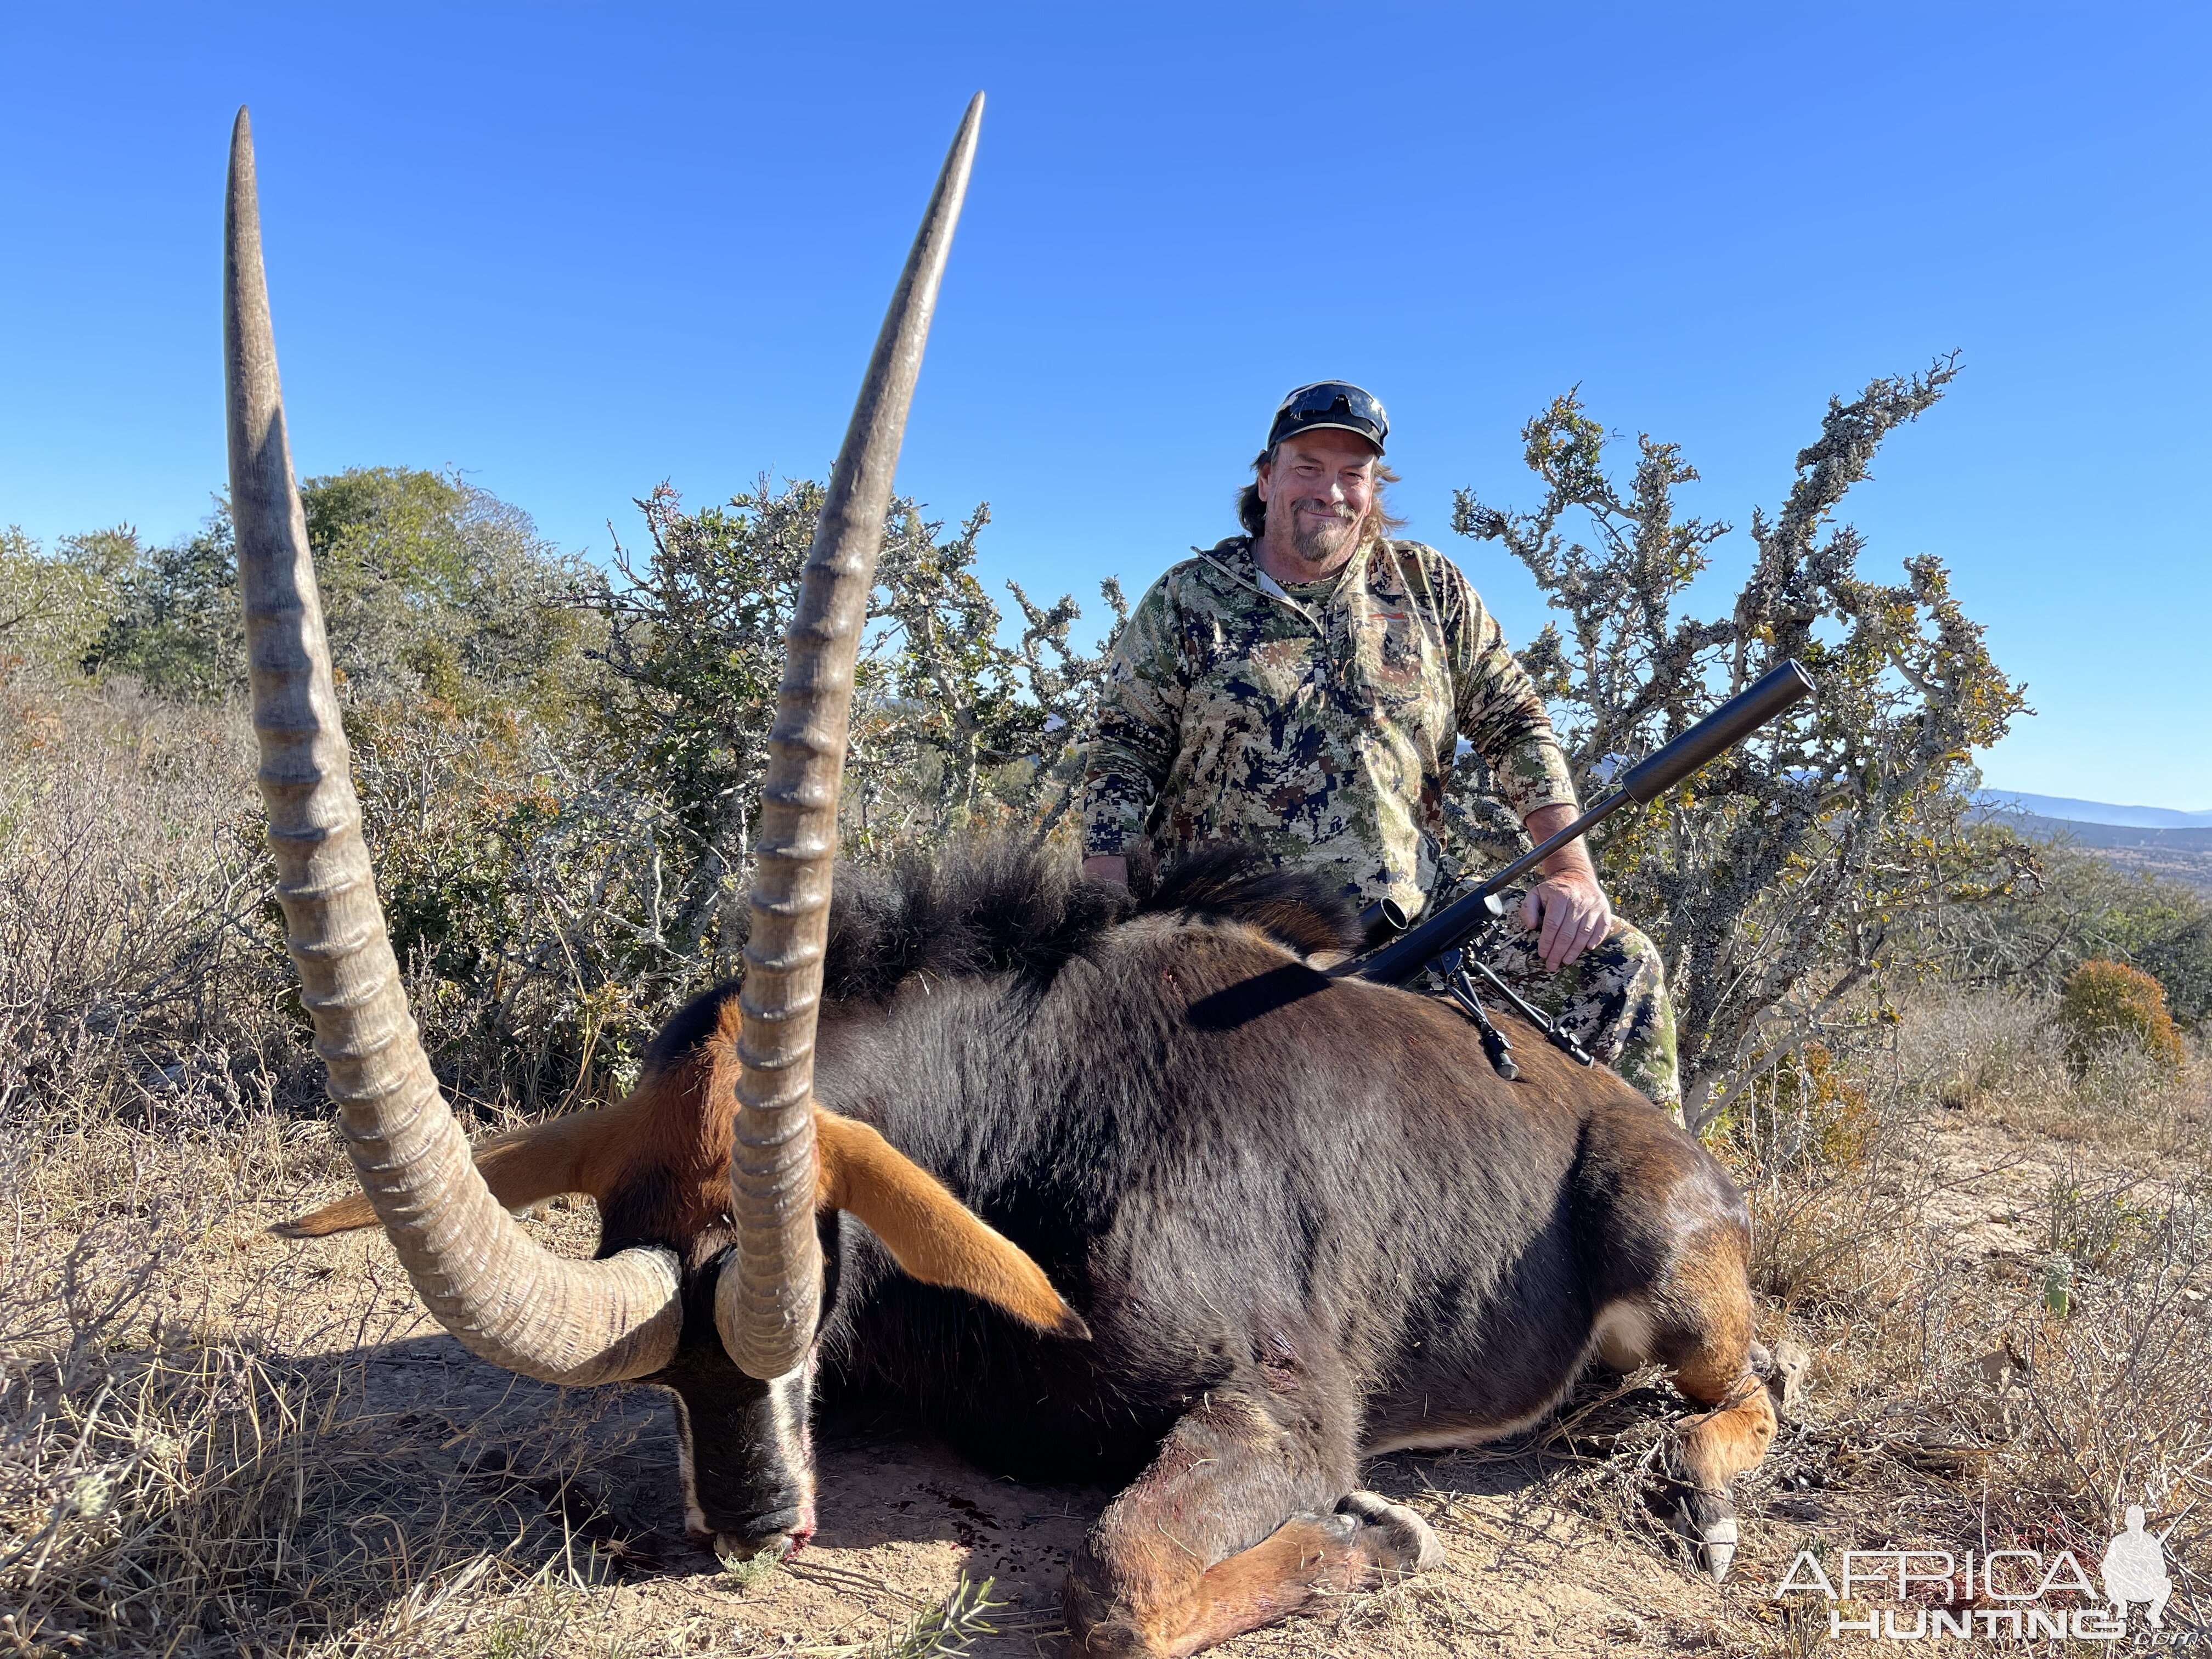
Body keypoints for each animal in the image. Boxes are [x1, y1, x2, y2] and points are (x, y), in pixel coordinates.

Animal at [242, 100, 1787, 1659]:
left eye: (803, 1268)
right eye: (658, 1324)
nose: (750, 1525)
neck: (1032, 1109)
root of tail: (1658, 1136)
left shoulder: (1286, 1403)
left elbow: (1119, 1586)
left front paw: (1386, 1534)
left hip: (1674, 1277)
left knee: (1756, 1378)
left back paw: (1708, 1503)